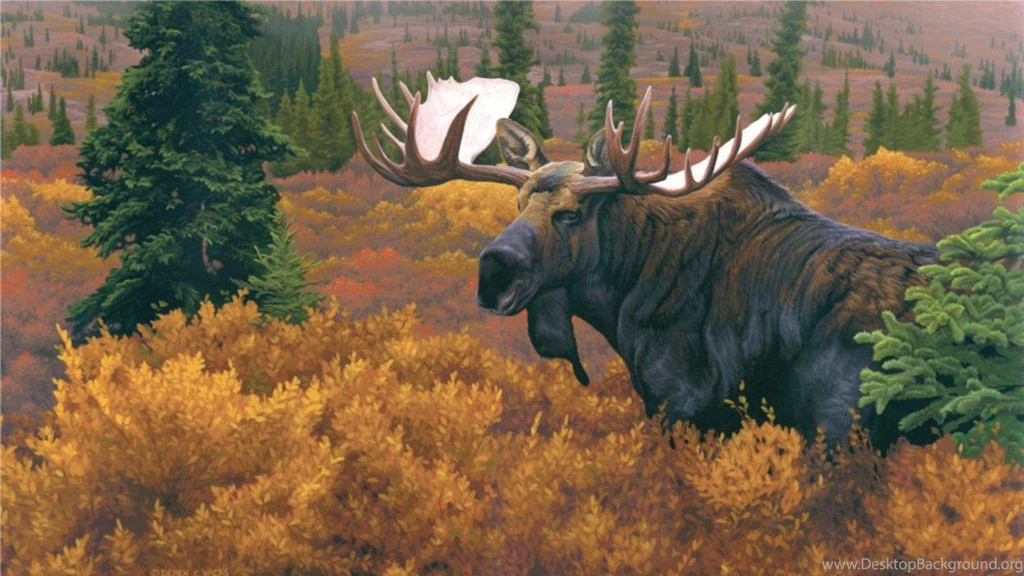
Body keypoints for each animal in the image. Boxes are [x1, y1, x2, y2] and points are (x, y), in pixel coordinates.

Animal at [351, 74, 939, 446]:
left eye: (570, 214)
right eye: (518, 205)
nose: (493, 272)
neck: (622, 293)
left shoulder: (680, 402)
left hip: (842, 422)